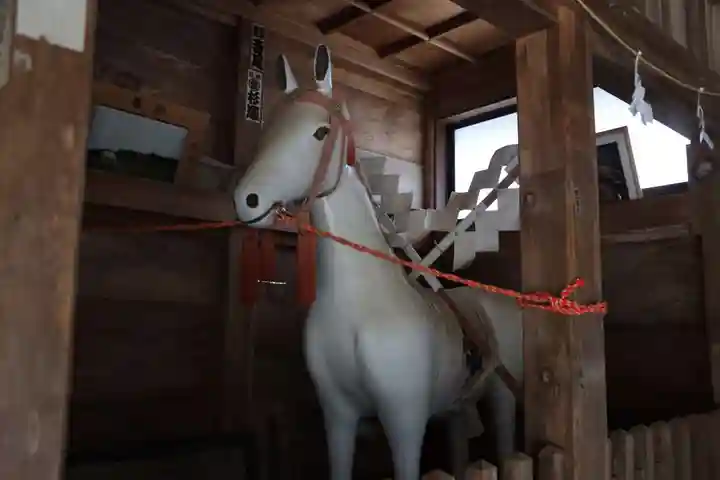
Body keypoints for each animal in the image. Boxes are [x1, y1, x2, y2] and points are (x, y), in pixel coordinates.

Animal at [232, 44, 522, 480]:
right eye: (269, 128)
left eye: (320, 132)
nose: (246, 200)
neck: (360, 306)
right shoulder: (338, 416)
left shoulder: (405, 422)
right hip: (457, 410)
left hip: (502, 397)